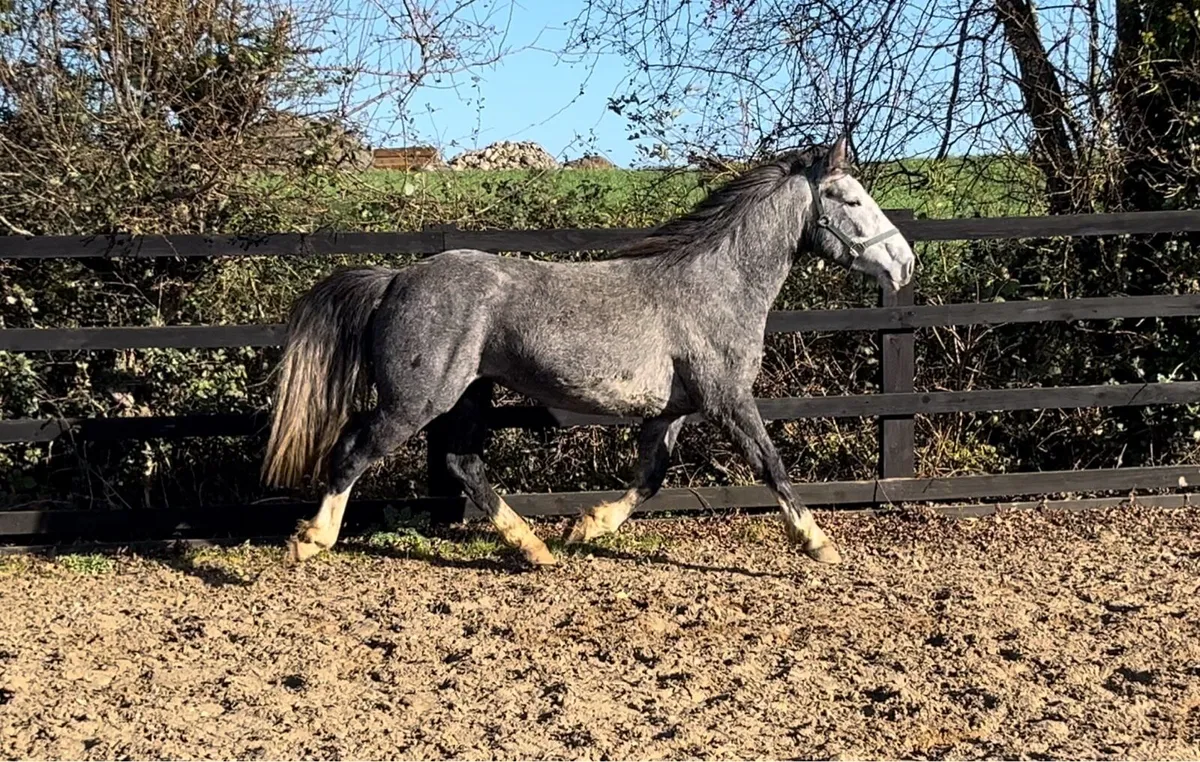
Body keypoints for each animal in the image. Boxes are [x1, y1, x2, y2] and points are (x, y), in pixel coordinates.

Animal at [261, 137, 915, 568]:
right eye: (850, 200)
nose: (904, 264)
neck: (714, 285)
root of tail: (395, 278)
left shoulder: (670, 410)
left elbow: (651, 478)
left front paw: (587, 527)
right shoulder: (727, 397)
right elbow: (770, 462)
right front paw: (819, 542)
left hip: (468, 394)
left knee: (463, 464)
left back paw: (536, 548)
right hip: (416, 400)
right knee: (354, 450)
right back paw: (312, 539)